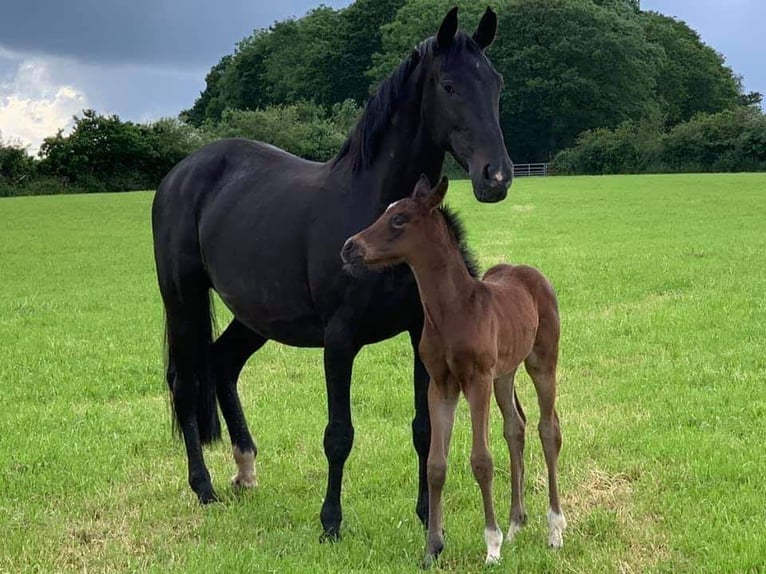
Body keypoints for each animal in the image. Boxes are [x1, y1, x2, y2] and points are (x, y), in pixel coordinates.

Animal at [151, 6, 512, 544]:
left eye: (495, 84)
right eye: (449, 85)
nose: (497, 177)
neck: (372, 207)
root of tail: (182, 172)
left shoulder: (420, 334)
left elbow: (424, 427)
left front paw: (425, 515)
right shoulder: (340, 341)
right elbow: (339, 434)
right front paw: (330, 523)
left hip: (255, 314)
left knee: (223, 363)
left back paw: (246, 470)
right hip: (183, 299)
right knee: (185, 378)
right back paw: (204, 487)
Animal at [342, 176, 564, 568]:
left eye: (398, 219)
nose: (349, 247)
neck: (455, 309)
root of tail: (530, 273)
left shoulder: (476, 381)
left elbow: (481, 460)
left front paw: (491, 547)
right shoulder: (441, 385)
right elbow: (435, 465)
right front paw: (432, 548)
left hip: (541, 361)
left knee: (548, 429)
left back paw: (554, 529)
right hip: (504, 373)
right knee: (516, 428)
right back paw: (516, 523)